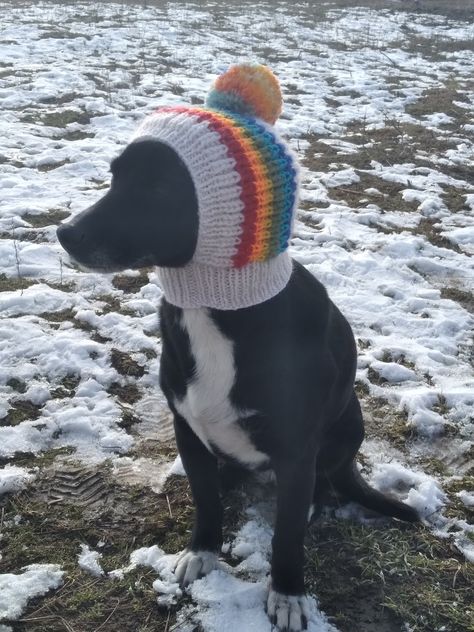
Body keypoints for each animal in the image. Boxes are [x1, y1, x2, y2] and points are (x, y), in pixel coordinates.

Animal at [56, 136, 418, 628]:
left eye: (160, 186)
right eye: (115, 177)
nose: (65, 232)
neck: (214, 309)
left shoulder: (296, 449)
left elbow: (287, 535)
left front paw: (288, 594)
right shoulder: (186, 428)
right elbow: (205, 499)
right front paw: (201, 551)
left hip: (349, 422)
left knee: (322, 483)